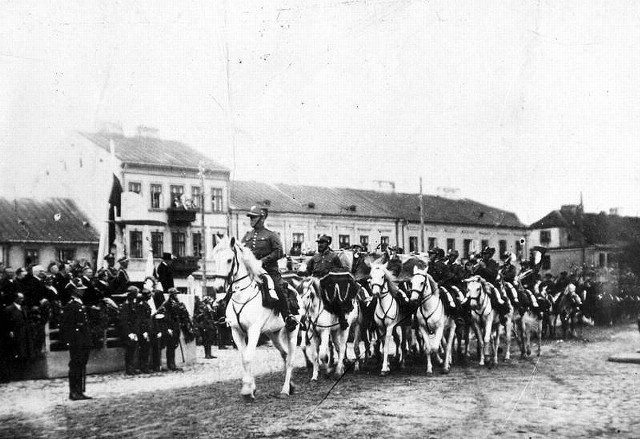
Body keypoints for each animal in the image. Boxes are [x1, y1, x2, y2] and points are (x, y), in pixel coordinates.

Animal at [210, 237, 300, 402]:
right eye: (215, 258)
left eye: (229, 259)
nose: (218, 288)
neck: (243, 295)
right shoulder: (236, 332)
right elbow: (243, 358)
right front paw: (251, 388)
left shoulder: (253, 331)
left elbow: (247, 357)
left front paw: (247, 390)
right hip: (274, 334)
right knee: (284, 354)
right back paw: (290, 385)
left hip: (293, 332)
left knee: (290, 359)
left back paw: (285, 390)